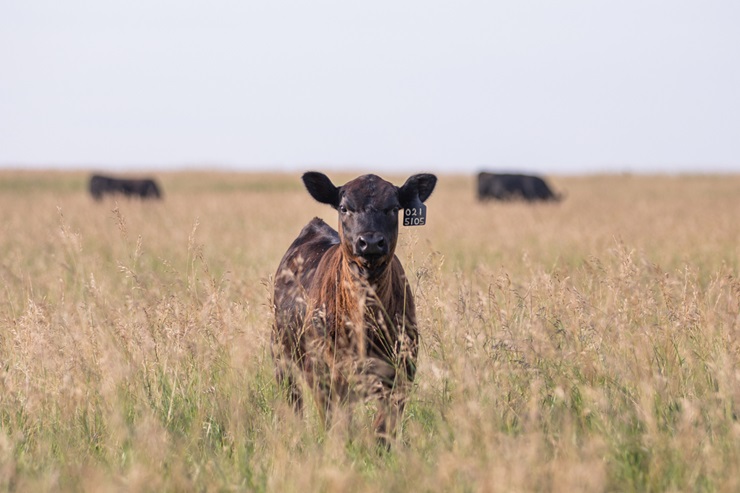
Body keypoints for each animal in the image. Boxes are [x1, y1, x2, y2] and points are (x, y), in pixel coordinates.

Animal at [272, 171, 437, 445]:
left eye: (394, 208)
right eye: (344, 208)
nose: (370, 242)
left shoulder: (402, 373)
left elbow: (383, 431)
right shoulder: (324, 376)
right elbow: (337, 427)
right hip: (281, 356)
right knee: (293, 402)